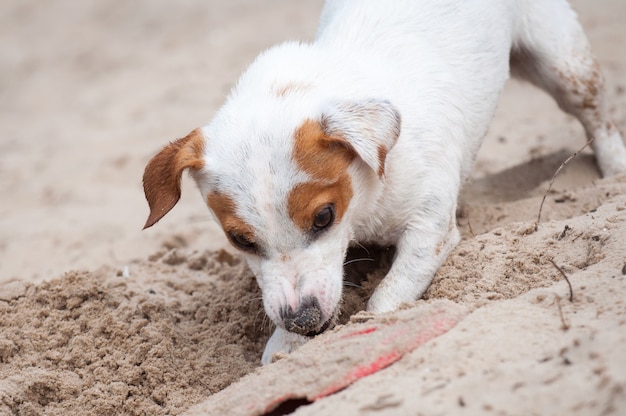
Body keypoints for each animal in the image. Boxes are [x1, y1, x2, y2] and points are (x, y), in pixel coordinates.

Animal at [141, 0, 624, 364]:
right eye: (240, 240)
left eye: (324, 216)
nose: (303, 321)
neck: (366, 205)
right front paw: (286, 346)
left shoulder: (428, 232)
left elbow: (386, 299)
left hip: (563, 63)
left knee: (598, 117)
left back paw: (614, 170)